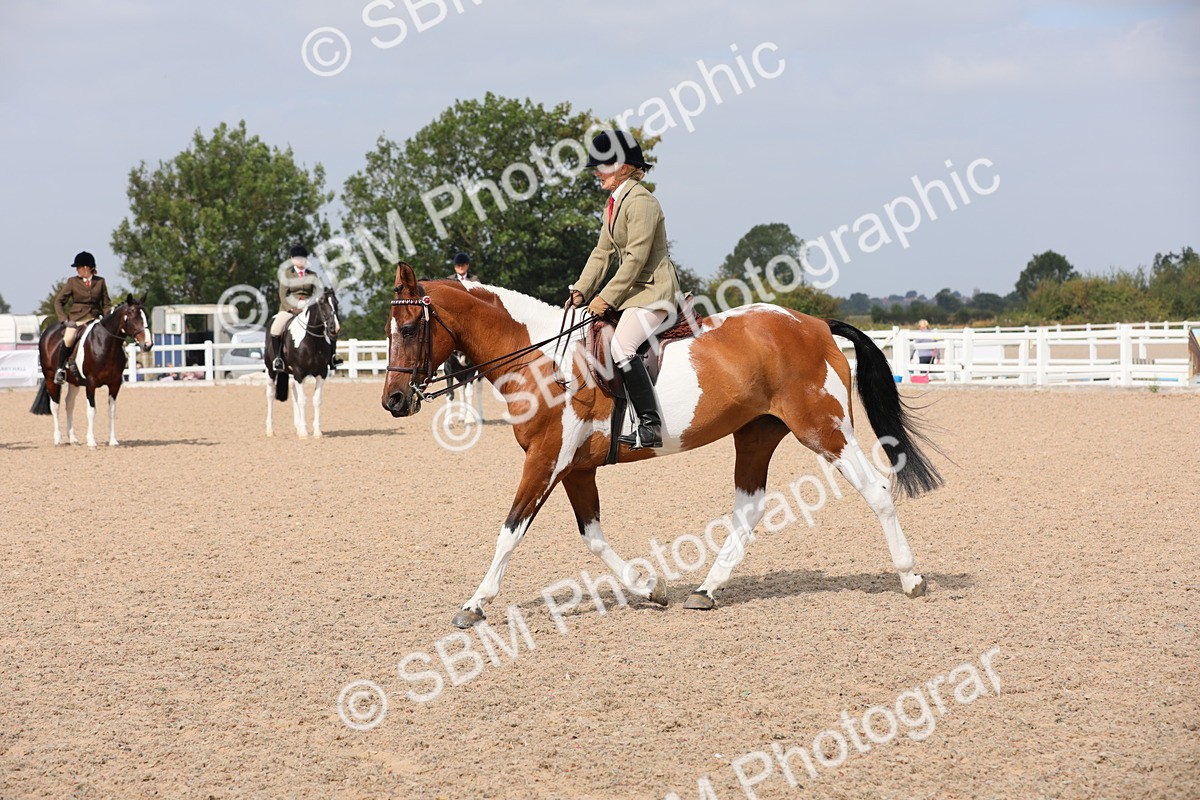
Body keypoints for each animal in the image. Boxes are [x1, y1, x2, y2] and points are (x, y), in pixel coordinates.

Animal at [30, 295, 153, 448]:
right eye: (133, 316)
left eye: (145, 316)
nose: (148, 344)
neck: (106, 344)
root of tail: (48, 331)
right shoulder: (91, 383)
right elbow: (91, 411)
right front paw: (91, 441)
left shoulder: (115, 384)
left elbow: (111, 411)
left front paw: (113, 440)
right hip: (50, 378)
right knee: (55, 406)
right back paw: (58, 439)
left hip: (74, 382)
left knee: (69, 404)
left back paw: (73, 439)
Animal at [265, 291, 339, 438]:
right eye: (322, 303)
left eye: (336, 302)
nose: (334, 328)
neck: (312, 340)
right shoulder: (299, 372)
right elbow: (302, 400)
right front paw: (304, 433)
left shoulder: (321, 373)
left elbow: (316, 400)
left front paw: (317, 432)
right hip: (271, 370)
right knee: (270, 394)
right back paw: (270, 430)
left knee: (294, 393)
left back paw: (298, 427)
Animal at [382, 263, 943, 628]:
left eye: (408, 328)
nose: (393, 401)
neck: (542, 360)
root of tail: (814, 323)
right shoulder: (575, 469)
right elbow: (593, 536)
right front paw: (647, 587)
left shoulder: (546, 459)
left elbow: (509, 532)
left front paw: (475, 604)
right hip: (756, 434)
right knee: (748, 509)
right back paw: (706, 590)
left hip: (825, 431)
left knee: (876, 492)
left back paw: (911, 578)